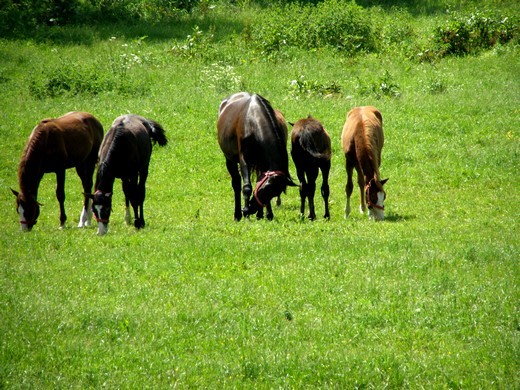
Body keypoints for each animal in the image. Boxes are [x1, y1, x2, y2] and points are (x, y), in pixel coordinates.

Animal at [216, 90, 296, 219]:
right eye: (266, 189)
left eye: (274, 193)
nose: (252, 209)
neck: (253, 122)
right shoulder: (244, 160)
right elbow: (247, 187)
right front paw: (245, 211)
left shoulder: (263, 162)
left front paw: (266, 214)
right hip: (230, 159)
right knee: (236, 183)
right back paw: (237, 214)